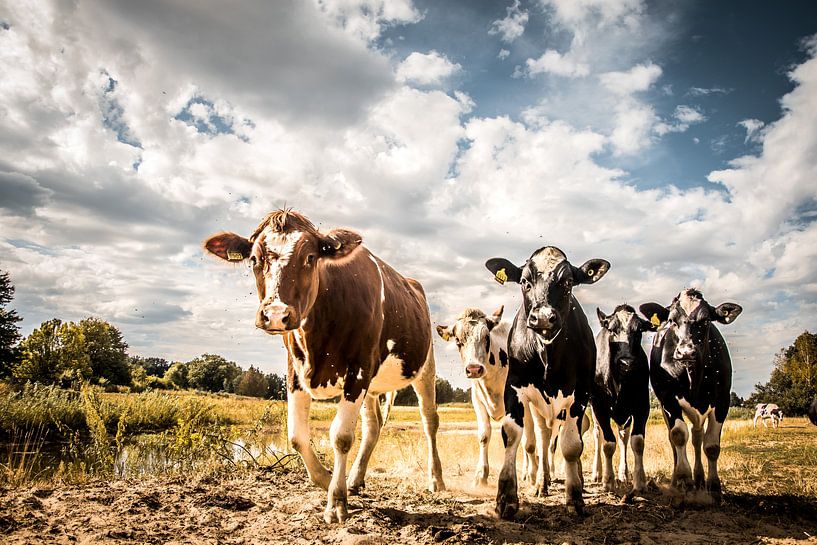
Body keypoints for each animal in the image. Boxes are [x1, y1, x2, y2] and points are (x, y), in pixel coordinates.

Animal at [203, 209, 445, 523]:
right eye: (255, 259)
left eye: (310, 257)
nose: (276, 314)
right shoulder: (295, 370)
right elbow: (296, 436)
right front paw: (327, 479)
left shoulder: (359, 368)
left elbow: (341, 437)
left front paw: (336, 500)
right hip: (372, 384)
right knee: (373, 426)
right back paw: (355, 479)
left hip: (425, 367)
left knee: (429, 421)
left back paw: (435, 479)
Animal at [436, 306, 542, 488]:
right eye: (458, 340)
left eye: (486, 337)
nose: (473, 369)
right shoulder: (477, 400)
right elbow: (484, 436)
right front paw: (481, 475)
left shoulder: (523, 403)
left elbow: (528, 441)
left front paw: (533, 475)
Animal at [485, 246, 610, 518]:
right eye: (524, 281)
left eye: (568, 282)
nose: (542, 318)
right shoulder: (515, 387)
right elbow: (512, 434)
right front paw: (506, 497)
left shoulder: (580, 394)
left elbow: (572, 445)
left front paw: (574, 497)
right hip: (539, 409)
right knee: (543, 439)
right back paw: (542, 483)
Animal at [590, 305, 655, 497]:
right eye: (612, 329)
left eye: (639, 330)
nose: (626, 363)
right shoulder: (599, 406)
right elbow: (608, 443)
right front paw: (608, 481)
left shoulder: (642, 405)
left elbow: (637, 442)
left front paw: (639, 482)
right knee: (597, 435)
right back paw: (597, 473)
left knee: (623, 437)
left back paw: (623, 473)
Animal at [640, 288, 742, 504]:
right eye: (672, 320)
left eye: (706, 320)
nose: (686, 351)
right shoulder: (668, 399)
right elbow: (678, 436)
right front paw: (685, 481)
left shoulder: (723, 400)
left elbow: (711, 445)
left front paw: (714, 487)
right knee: (677, 441)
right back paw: (677, 481)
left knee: (697, 437)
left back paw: (700, 480)